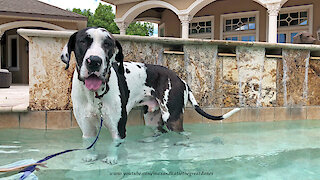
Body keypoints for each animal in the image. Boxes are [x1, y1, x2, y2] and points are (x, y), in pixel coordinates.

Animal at [60, 27, 240, 165]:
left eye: (107, 43)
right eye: (83, 41)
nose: (94, 61)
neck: (94, 95)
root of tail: (181, 79)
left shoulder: (118, 129)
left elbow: (115, 145)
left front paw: (112, 159)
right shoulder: (87, 129)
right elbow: (89, 144)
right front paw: (90, 157)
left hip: (172, 118)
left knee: (183, 135)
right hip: (152, 118)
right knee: (160, 132)